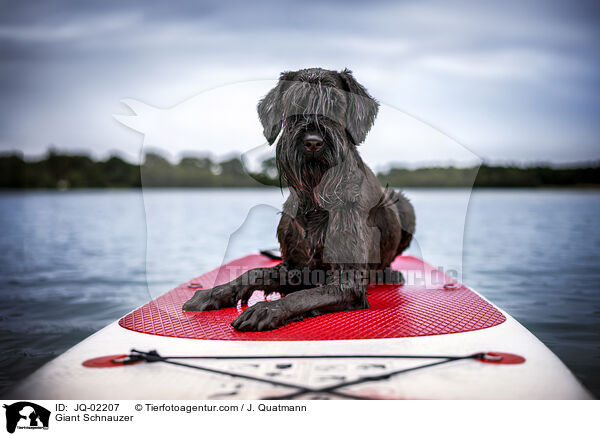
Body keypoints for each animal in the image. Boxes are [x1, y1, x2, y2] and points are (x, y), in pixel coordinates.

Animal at [185, 67, 414, 330]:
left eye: (336, 104)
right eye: (294, 103)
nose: (313, 142)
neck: (315, 198)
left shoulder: (347, 282)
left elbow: (304, 296)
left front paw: (267, 309)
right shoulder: (295, 266)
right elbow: (254, 272)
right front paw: (213, 293)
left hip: (404, 204)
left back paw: (390, 273)